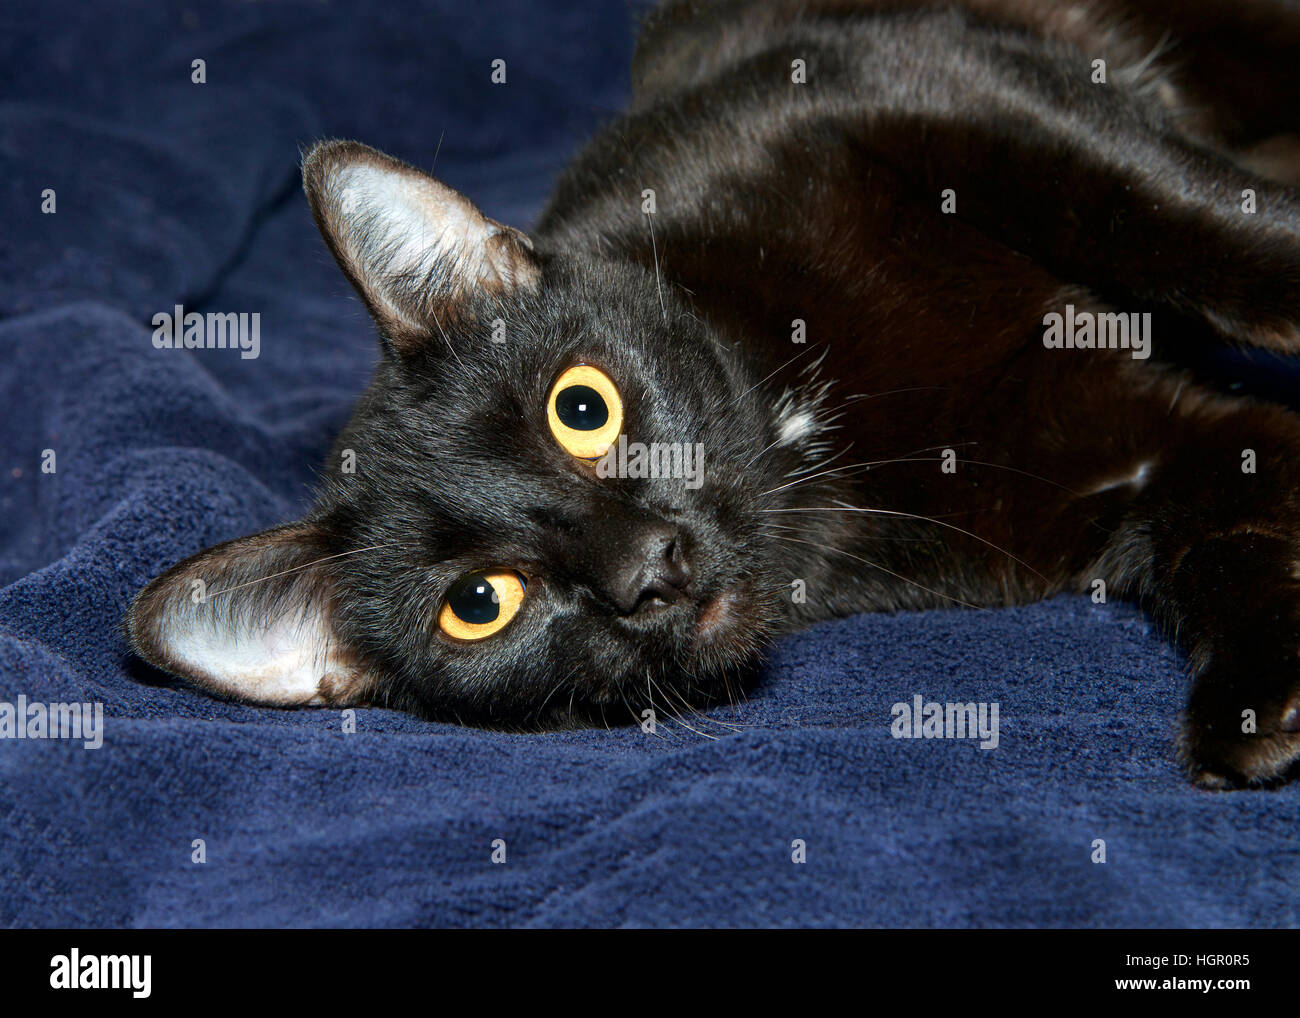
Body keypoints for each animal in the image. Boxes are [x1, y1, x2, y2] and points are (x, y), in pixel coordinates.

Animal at [124, 0, 1300, 790]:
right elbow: (1230, 524)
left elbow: (1171, 211)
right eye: (480, 604)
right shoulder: (1116, 458)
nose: (647, 568)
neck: (812, 444)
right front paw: (1258, 706)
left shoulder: (907, 79)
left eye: (581, 408)